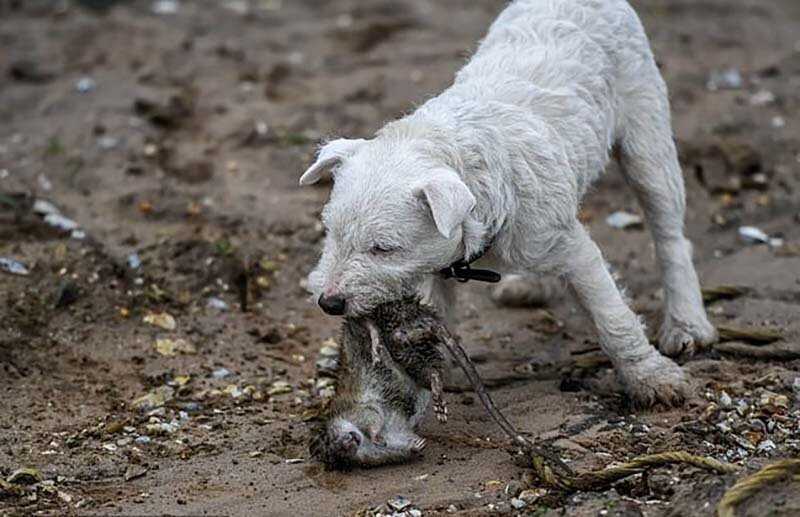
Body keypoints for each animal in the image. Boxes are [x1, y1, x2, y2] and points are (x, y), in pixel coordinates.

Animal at [300, 0, 720, 406]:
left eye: (383, 249)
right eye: (331, 233)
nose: (329, 303)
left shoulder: (577, 252)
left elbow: (613, 317)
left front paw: (651, 378)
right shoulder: (436, 262)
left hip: (646, 137)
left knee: (670, 237)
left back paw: (686, 323)